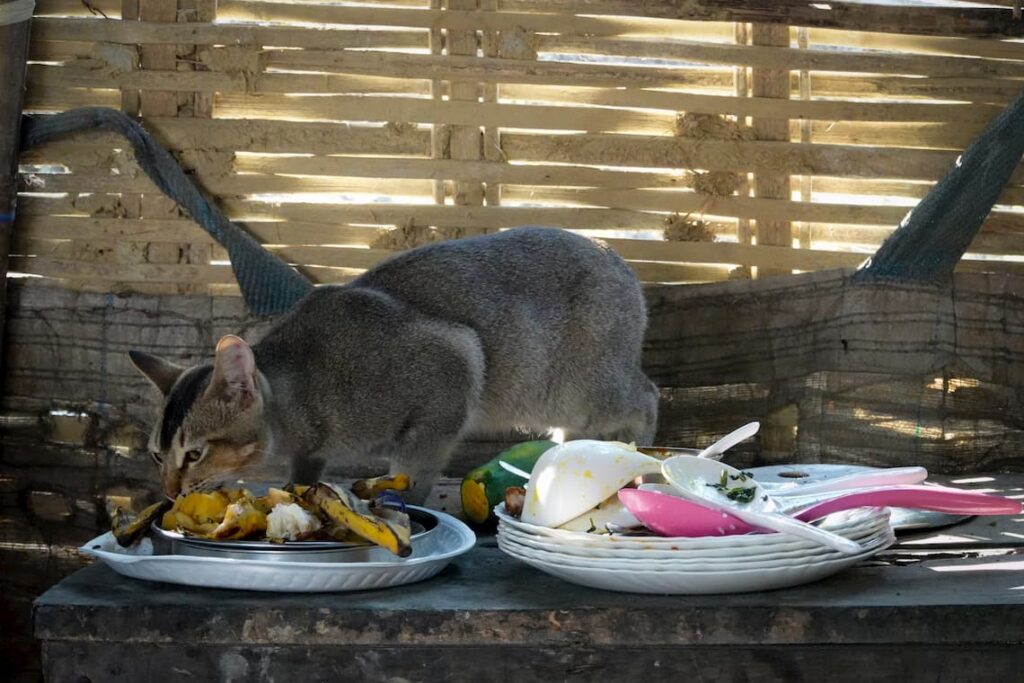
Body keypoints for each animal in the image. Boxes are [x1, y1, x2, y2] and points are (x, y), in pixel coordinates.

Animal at [132, 228, 659, 501]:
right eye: (157, 455)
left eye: (195, 454)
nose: (170, 490)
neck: (302, 393)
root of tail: (616, 256)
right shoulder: (311, 450)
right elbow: (306, 474)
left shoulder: (454, 362)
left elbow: (416, 468)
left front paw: (407, 505)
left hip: (580, 390)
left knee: (648, 396)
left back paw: (645, 463)